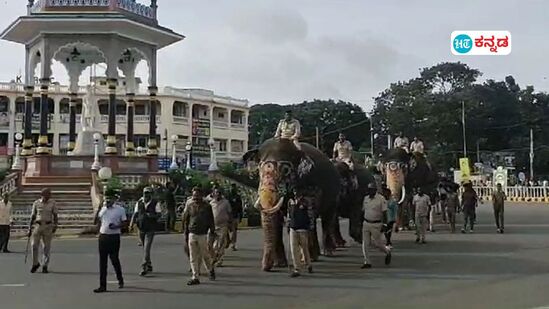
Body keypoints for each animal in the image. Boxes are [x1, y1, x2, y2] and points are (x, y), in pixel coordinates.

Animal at [243, 138, 340, 270]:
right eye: (259, 170)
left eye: (285, 170)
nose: (265, 268)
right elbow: (278, 219)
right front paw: (280, 265)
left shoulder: (310, 186)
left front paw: (304, 260)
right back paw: (315, 256)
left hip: (334, 195)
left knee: (327, 218)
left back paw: (326, 253)